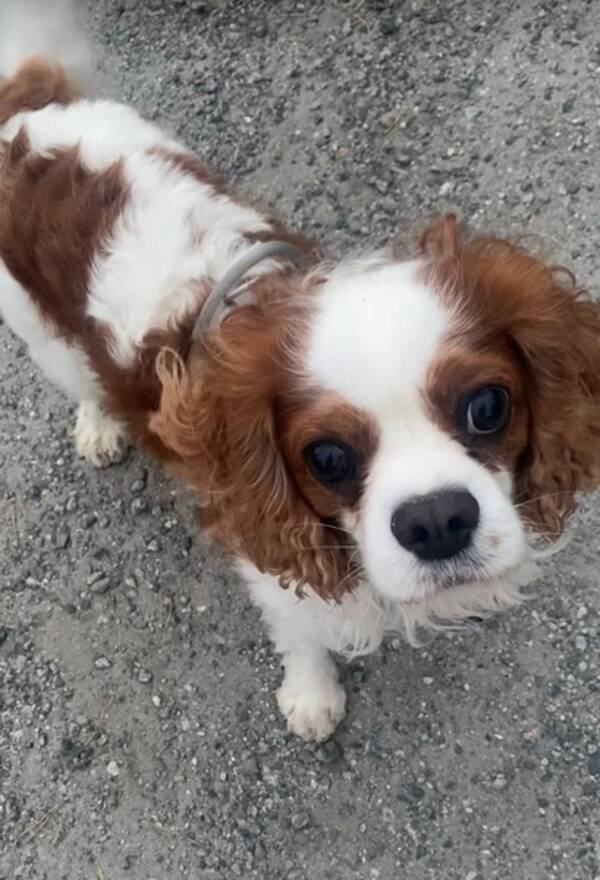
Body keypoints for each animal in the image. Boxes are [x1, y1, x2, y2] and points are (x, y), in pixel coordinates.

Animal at [1, 5, 600, 744]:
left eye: (488, 406)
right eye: (328, 456)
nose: (436, 521)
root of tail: (29, 113)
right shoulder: (266, 546)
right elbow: (301, 631)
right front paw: (312, 694)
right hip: (35, 327)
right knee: (80, 379)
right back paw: (98, 425)